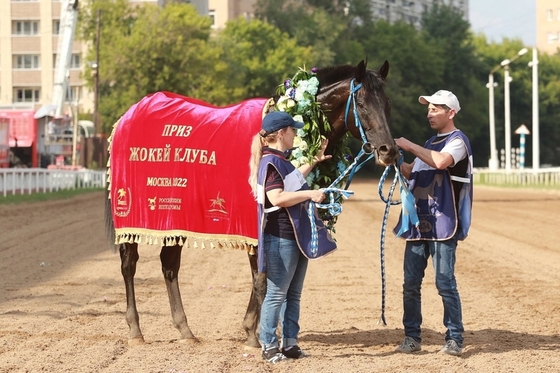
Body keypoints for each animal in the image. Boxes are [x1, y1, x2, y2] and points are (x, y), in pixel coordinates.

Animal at [104, 58, 394, 346]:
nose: (389, 151)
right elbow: (262, 279)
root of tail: (127, 117)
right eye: (362, 103)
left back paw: (185, 330)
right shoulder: (257, 227)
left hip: (173, 218)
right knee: (129, 265)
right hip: (131, 215)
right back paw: (135, 329)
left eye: (386, 103)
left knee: (169, 265)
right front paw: (253, 333)